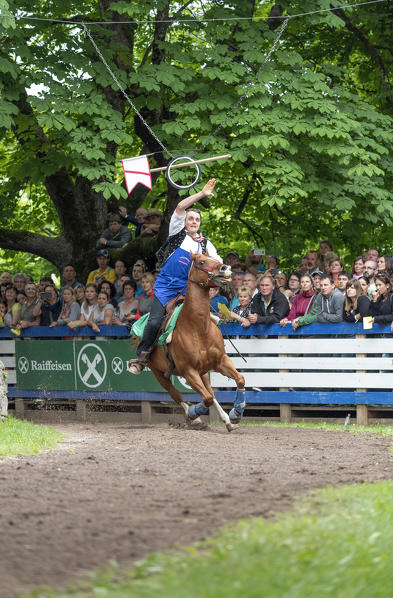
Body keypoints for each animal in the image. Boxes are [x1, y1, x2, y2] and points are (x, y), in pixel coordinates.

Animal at [138, 252, 245, 432]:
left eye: (215, 258)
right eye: (202, 261)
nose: (226, 268)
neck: (198, 328)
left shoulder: (220, 361)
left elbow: (240, 380)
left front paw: (236, 413)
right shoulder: (188, 370)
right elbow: (206, 398)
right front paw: (194, 413)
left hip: (203, 373)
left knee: (210, 393)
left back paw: (226, 420)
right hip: (159, 374)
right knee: (177, 395)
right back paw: (193, 417)